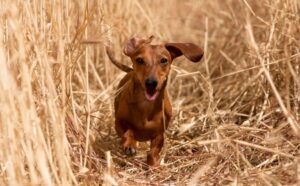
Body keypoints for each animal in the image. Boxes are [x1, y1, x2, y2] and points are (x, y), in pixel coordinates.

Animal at [106, 36, 204, 166]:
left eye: (164, 60)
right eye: (140, 60)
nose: (151, 83)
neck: (145, 105)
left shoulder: (159, 135)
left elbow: (152, 153)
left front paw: (154, 166)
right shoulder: (119, 123)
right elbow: (128, 132)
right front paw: (130, 145)